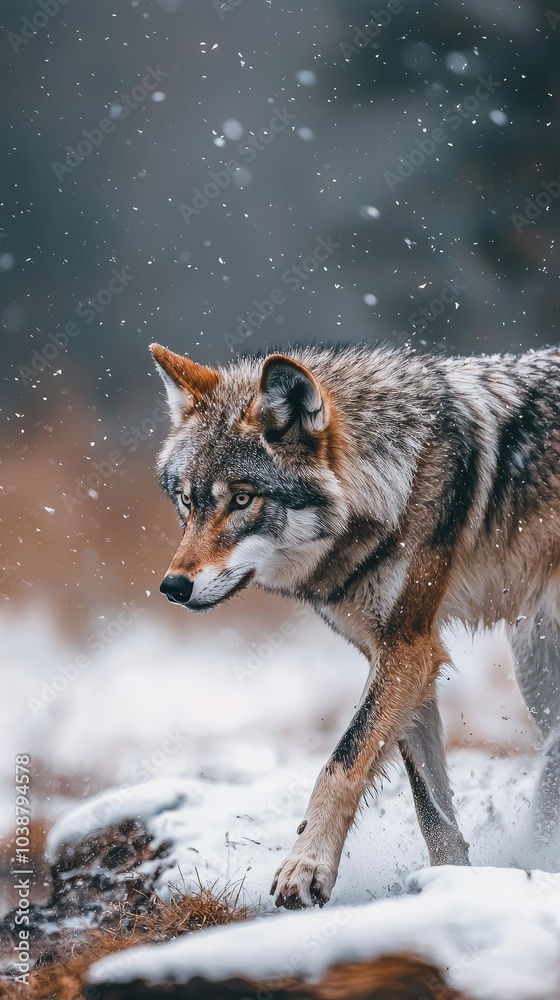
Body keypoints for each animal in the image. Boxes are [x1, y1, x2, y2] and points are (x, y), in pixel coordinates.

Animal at [150, 341, 560, 909]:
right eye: (188, 501)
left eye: (242, 498)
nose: (173, 587)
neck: (395, 480)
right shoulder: (398, 658)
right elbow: (431, 808)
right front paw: (451, 884)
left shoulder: (408, 649)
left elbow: (342, 762)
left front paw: (306, 867)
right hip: (537, 676)